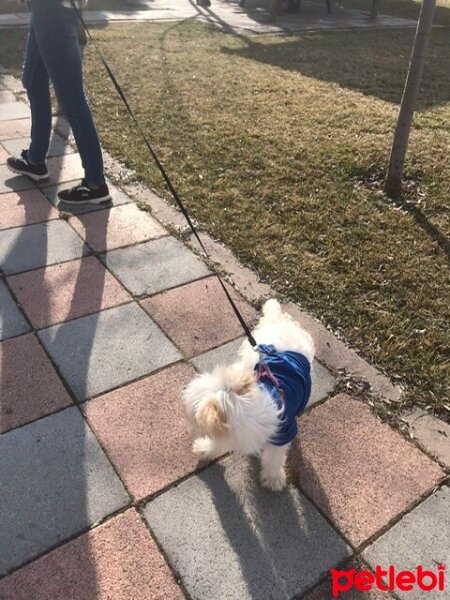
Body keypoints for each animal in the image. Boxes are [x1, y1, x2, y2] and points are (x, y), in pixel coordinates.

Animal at [182, 300, 312, 492]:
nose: (183, 389)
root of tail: (278, 322)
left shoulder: (282, 433)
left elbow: (274, 458)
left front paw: (273, 478)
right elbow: (219, 440)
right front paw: (206, 449)